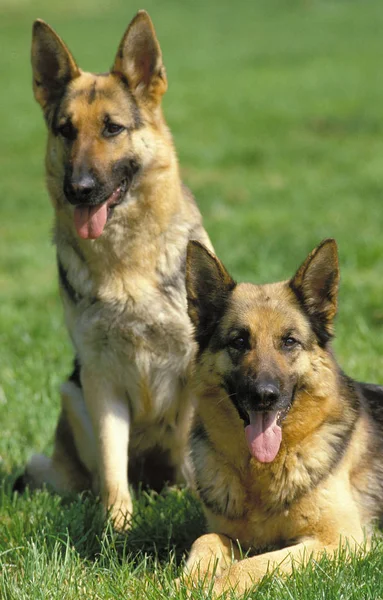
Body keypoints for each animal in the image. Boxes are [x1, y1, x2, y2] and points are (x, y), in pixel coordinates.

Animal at [15, 9, 213, 528]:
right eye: (66, 130)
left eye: (112, 129)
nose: (79, 190)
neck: (127, 262)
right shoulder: (100, 377)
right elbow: (110, 463)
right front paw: (116, 525)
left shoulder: (192, 370)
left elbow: (193, 451)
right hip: (73, 392)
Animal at [182, 239, 383, 596]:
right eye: (239, 341)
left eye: (289, 342)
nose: (264, 396)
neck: (260, 473)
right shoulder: (229, 535)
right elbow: (205, 539)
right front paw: (186, 581)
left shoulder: (339, 541)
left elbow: (258, 562)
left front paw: (221, 586)